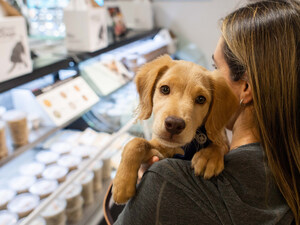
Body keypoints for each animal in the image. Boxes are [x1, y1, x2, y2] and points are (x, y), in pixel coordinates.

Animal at [111, 54, 238, 204]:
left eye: (201, 99)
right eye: (165, 89)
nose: (174, 124)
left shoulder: (220, 136)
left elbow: (220, 144)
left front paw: (208, 156)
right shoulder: (162, 147)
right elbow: (136, 142)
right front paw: (122, 184)